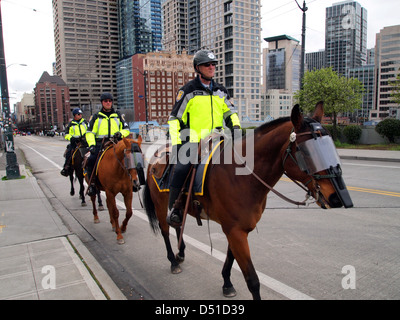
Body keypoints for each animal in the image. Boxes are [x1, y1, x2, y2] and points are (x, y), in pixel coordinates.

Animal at [144, 103, 354, 300]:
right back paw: (173, 261)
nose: (337, 197)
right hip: (160, 204)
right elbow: (252, 279)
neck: (241, 176)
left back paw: (180, 253)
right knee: (165, 230)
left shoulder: (237, 229)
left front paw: (227, 283)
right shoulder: (235, 231)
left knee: (177, 224)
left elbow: (230, 259)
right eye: (307, 153)